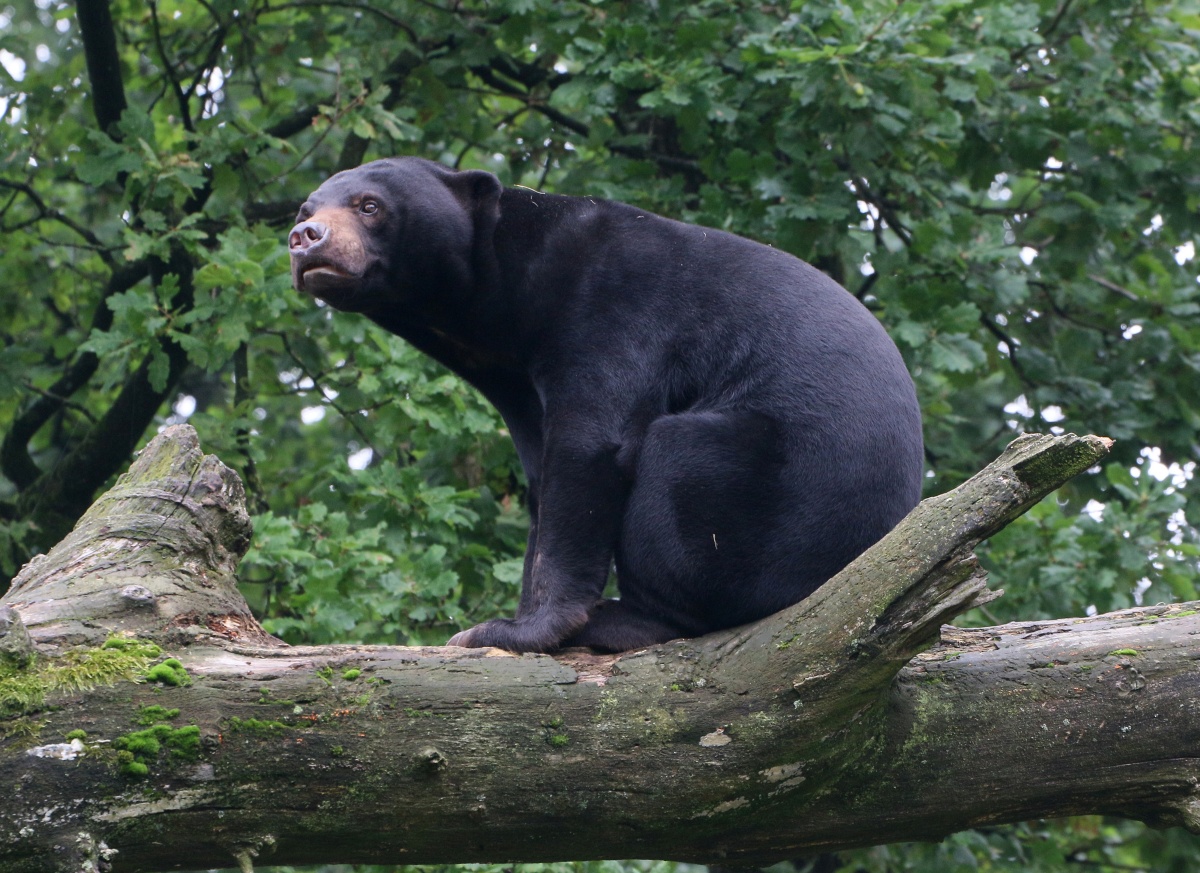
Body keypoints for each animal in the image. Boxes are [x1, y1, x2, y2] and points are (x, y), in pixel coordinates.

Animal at [288, 157, 924, 654]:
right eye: (303, 209)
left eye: (370, 205)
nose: (305, 239)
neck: (500, 308)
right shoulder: (518, 380)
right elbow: (542, 479)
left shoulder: (612, 313)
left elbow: (590, 452)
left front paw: (511, 631)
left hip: (774, 502)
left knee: (679, 468)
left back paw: (624, 619)